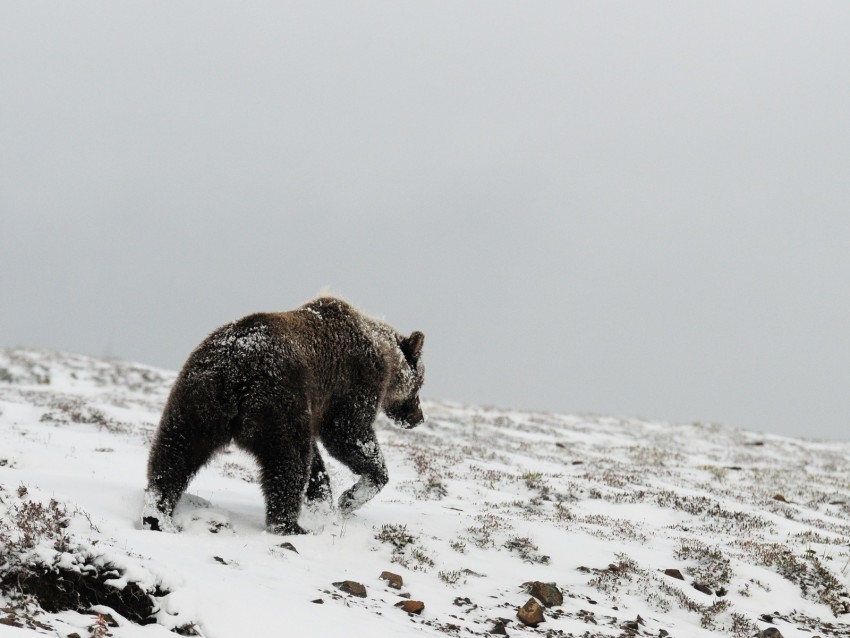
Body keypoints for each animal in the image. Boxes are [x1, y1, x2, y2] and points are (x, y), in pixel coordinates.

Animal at [142, 298, 428, 536]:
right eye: (421, 384)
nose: (418, 417)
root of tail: (236, 367)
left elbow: (318, 462)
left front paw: (324, 504)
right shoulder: (353, 382)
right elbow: (349, 435)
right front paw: (350, 498)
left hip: (198, 397)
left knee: (175, 452)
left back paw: (157, 514)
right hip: (279, 401)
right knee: (288, 461)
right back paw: (289, 526)